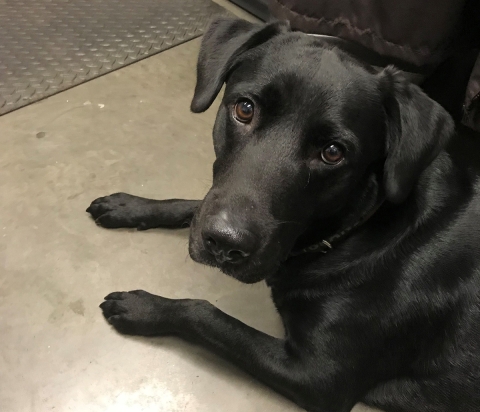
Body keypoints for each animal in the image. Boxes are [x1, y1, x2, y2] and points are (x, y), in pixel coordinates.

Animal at [87, 17, 480, 412]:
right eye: (244, 109)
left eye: (333, 152)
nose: (224, 245)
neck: (356, 230)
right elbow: (195, 205)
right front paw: (130, 206)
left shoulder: (319, 378)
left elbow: (206, 314)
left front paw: (143, 307)